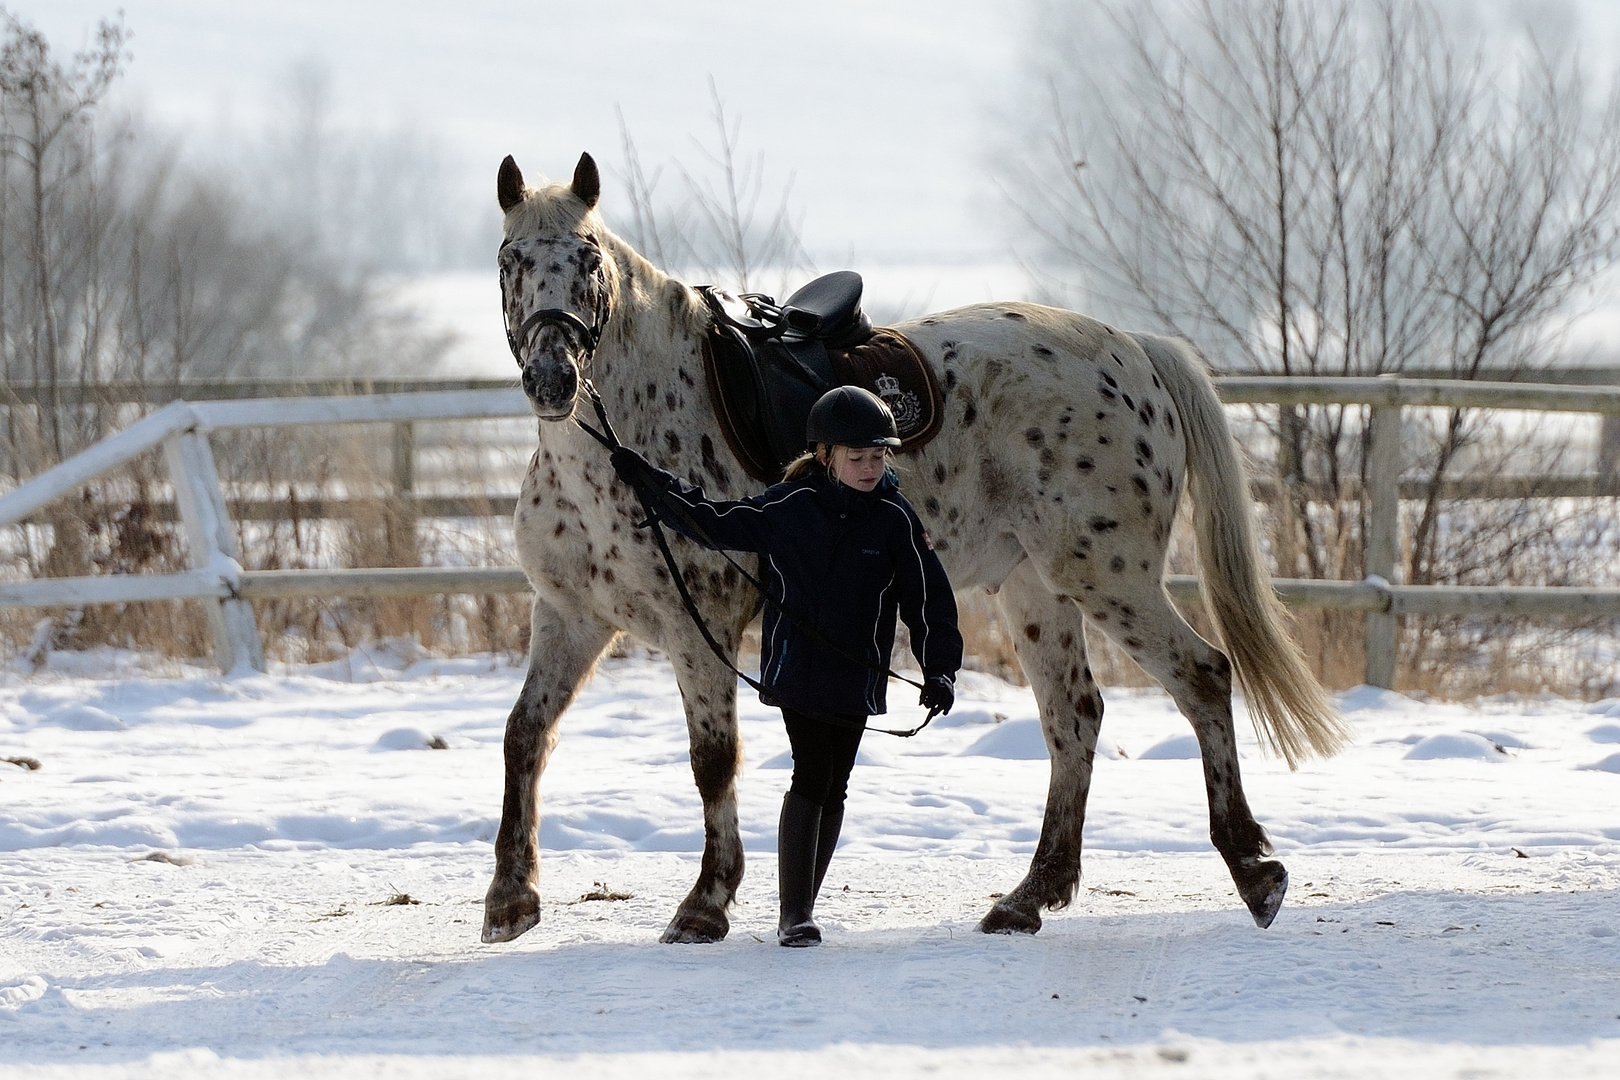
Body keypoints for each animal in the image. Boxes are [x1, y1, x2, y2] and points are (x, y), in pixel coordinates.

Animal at [482, 152, 1354, 945]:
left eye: (588, 259)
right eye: (509, 259)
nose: (553, 378)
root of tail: (1134, 350)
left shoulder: (699, 627)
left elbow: (712, 758)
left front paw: (704, 905)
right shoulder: (572, 617)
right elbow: (524, 735)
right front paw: (510, 900)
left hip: (1109, 576)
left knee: (1200, 677)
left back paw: (1254, 872)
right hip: (1035, 588)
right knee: (1073, 717)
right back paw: (1030, 896)